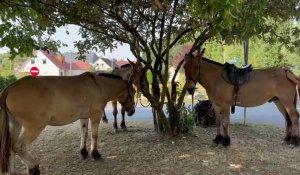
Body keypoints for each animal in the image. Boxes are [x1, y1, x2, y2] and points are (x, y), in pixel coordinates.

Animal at [0, 72, 136, 174]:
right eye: (133, 92)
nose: (132, 111)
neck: (99, 86)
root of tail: (10, 88)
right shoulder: (95, 116)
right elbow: (94, 135)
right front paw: (95, 154)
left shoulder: (84, 117)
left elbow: (84, 134)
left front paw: (83, 152)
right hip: (34, 127)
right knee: (19, 147)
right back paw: (33, 167)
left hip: (15, 125)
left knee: (10, 148)